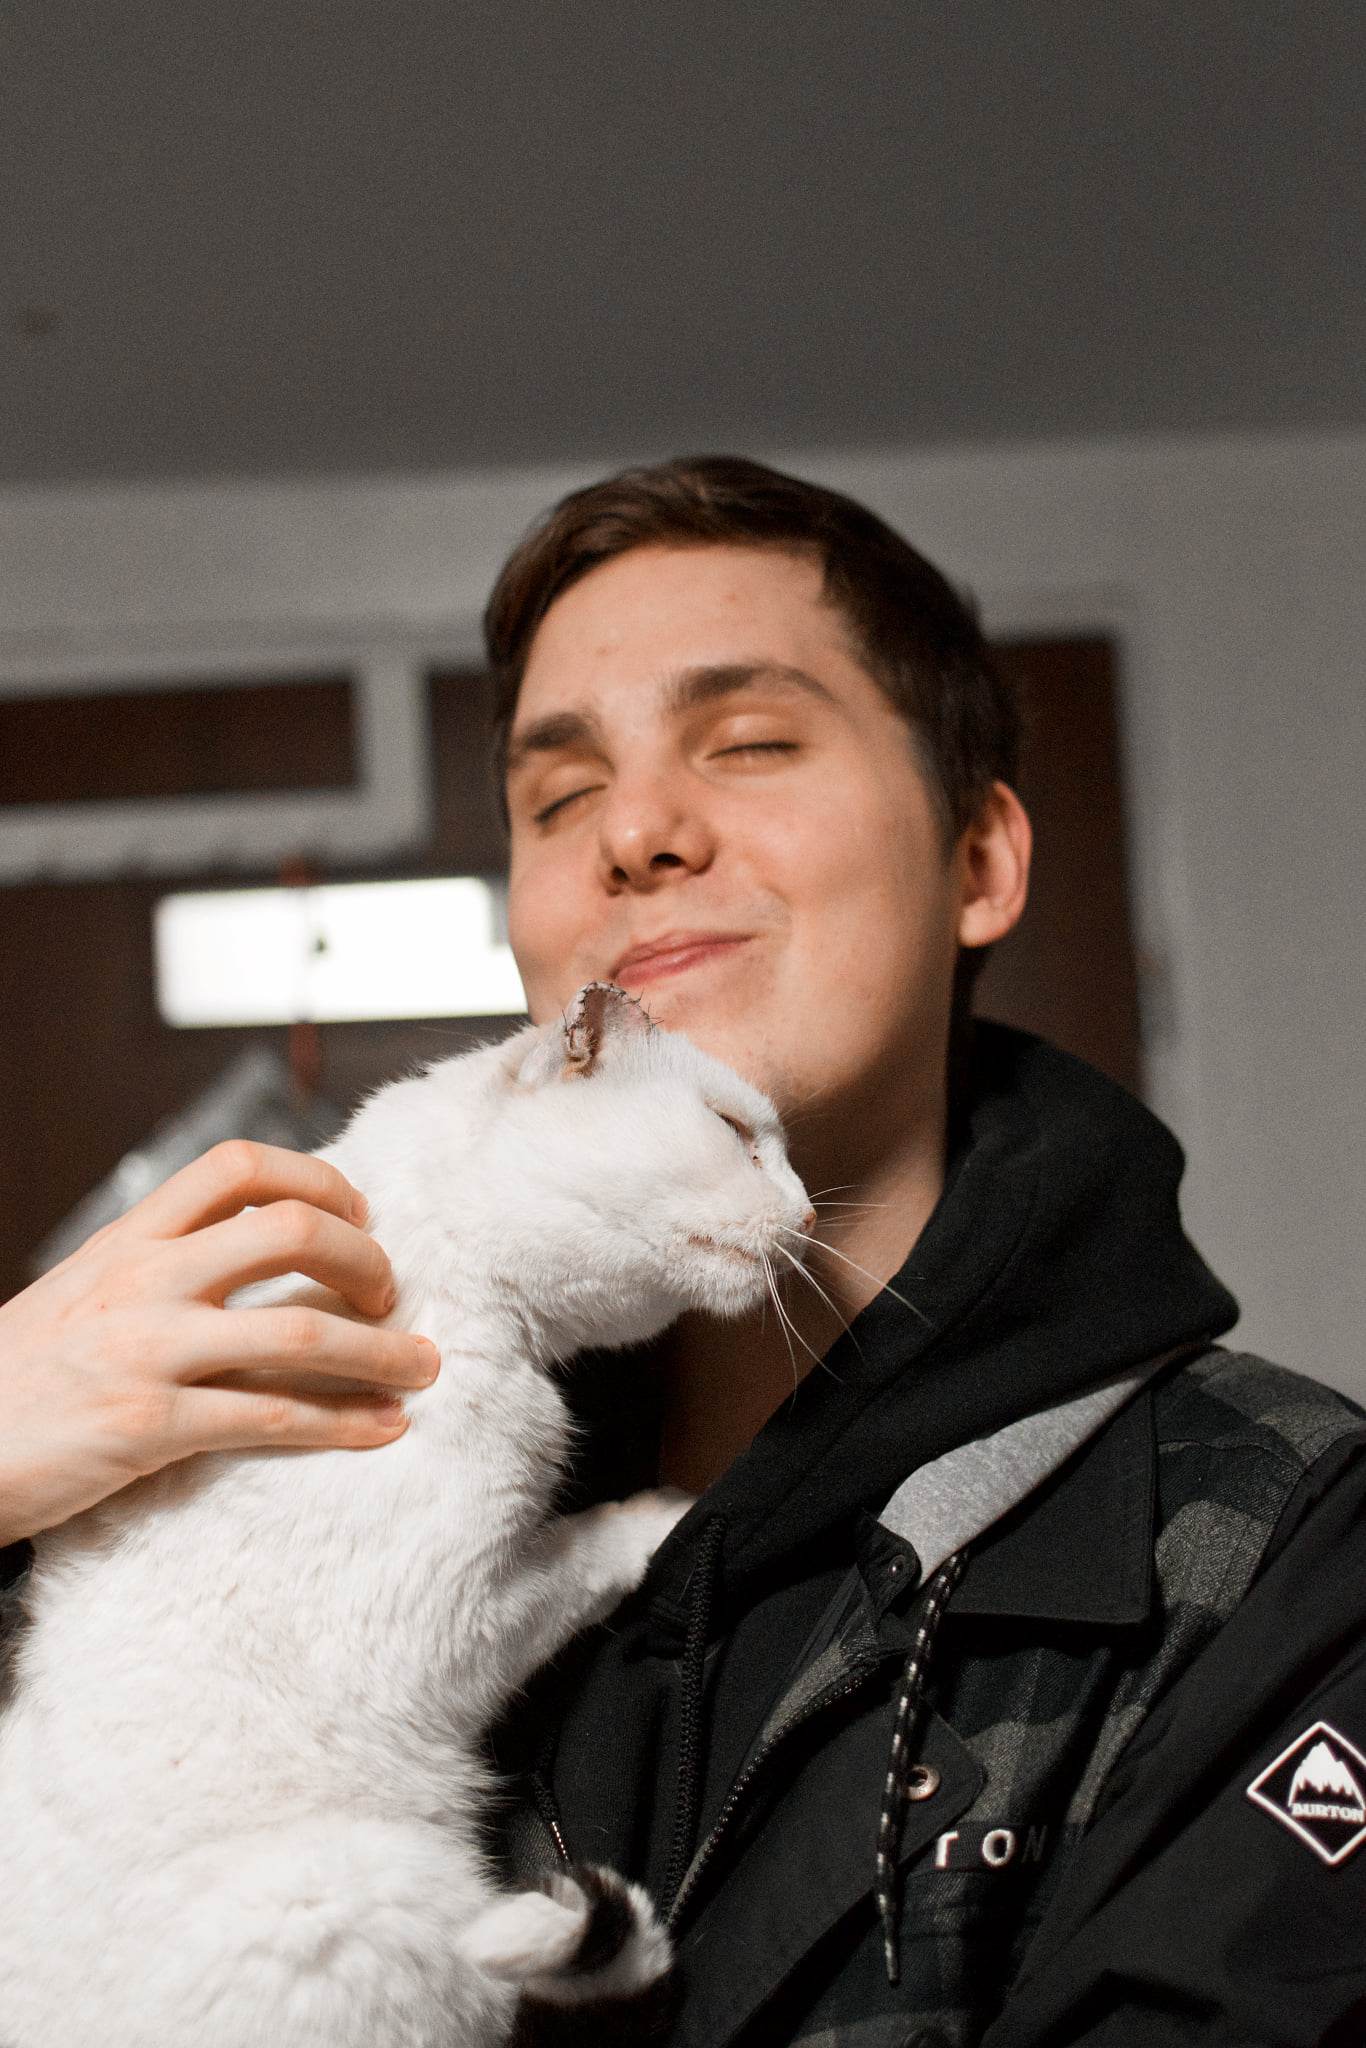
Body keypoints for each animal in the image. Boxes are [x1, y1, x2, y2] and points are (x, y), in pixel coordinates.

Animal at [0, 982, 813, 2048]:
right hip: (368, 1894)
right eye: (734, 1132)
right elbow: (583, 1550)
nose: (810, 1212)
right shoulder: (439, 1623)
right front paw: (662, 1511)